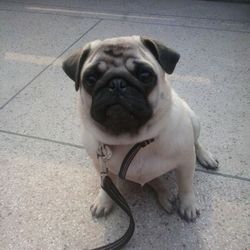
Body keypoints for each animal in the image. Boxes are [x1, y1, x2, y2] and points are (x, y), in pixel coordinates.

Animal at [62, 36, 219, 222]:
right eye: (90, 79)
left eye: (145, 76)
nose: (116, 83)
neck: (134, 141)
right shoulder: (100, 165)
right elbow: (105, 186)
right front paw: (103, 200)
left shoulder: (186, 162)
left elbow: (185, 186)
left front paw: (187, 204)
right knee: (155, 181)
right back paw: (165, 195)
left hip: (194, 121)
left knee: (196, 142)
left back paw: (206, 157)